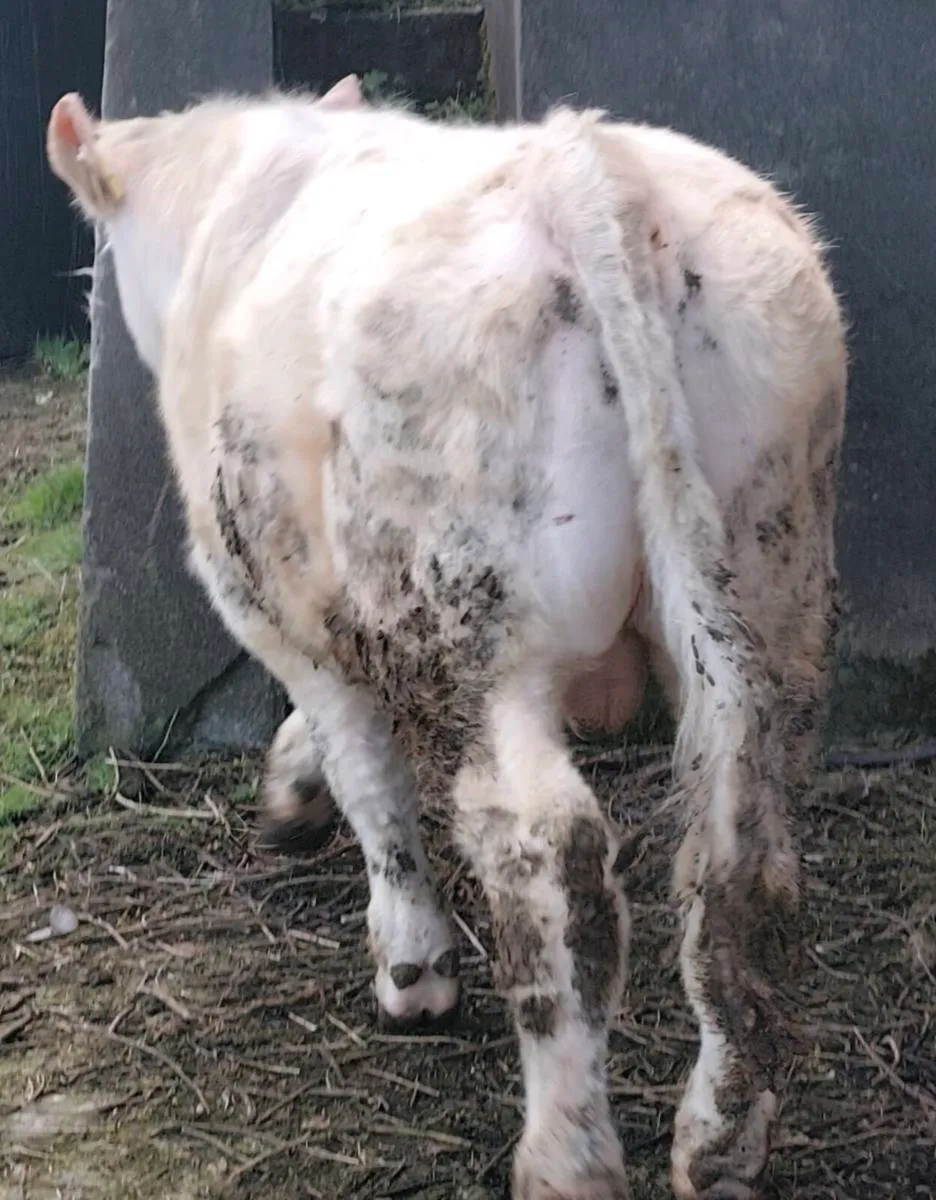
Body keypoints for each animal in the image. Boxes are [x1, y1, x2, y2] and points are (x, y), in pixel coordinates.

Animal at [47, 78, 846, 1200]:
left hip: (486, 635)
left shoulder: (271, 602)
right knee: (747, 852)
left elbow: (367, 773)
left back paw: (565, 1155)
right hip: (767, 581)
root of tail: (587, 173)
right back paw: (721, 1138)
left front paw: (410, 968)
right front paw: (290, 794)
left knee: (550, 857)